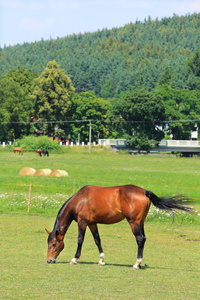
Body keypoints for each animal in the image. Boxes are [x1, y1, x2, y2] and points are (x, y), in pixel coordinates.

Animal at [46, 184, 193, 268]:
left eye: (54, 244)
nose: (49, 260)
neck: (79, 199)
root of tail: (143, 191)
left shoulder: (83, 222)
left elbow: (80, 240)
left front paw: (74, 259)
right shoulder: (92, 223)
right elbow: (97, 240)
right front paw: (101, 260)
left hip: (134, 222)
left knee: (140, 239)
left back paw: (137, 263)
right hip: (140, 222)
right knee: (144, 239)